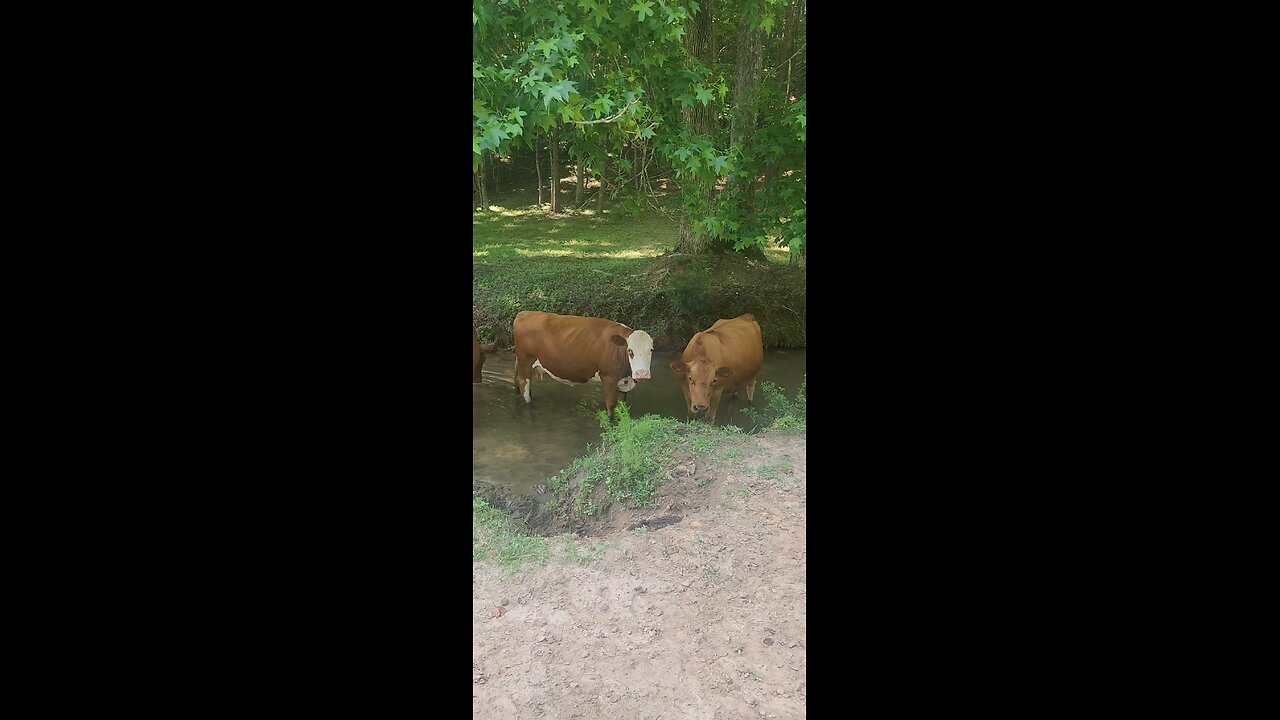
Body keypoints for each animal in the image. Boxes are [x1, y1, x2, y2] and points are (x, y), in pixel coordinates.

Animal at [512, 310, 654, 419]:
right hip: (526, 361)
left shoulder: (623, 383)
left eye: (651, 350)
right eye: (630, 351)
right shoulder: (608, 378)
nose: (642, 373)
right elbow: (611, 406)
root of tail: (524, 313)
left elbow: (623, 407)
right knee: (523, 383)